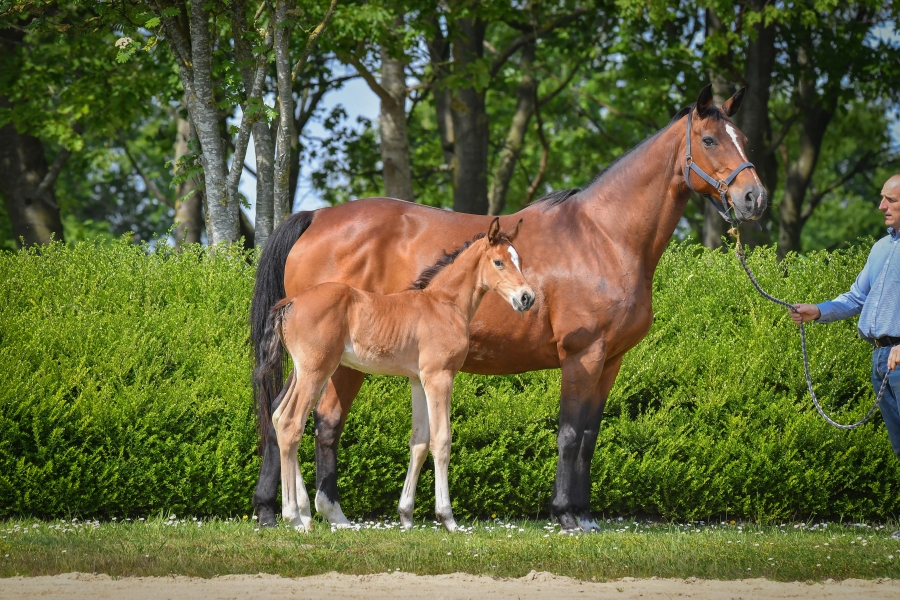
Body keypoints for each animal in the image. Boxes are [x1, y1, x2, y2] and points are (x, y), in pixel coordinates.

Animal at [256, 219, 532, 528]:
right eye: (499, 262)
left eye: (519, 260)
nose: (527, 298)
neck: (443, 304)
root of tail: (289, 303)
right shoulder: (439, 376)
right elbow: (442, 440)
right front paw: (447, 519)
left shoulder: (417, 379)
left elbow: (419, 441)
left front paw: (406, 516)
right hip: (316, 371)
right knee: (291, 424)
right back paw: (294, 517)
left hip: (303, 371)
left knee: (279, 416)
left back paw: (304, 515)